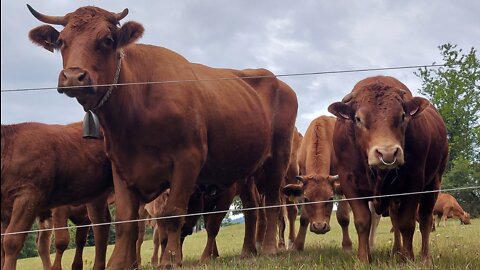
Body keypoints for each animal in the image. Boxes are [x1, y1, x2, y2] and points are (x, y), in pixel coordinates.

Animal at [282, 116, 352, 251]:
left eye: (330, 198)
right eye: (306, 199)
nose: (319, 227)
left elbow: (343, 216)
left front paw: (347, 245)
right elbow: (304, 218)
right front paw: (298, 245)